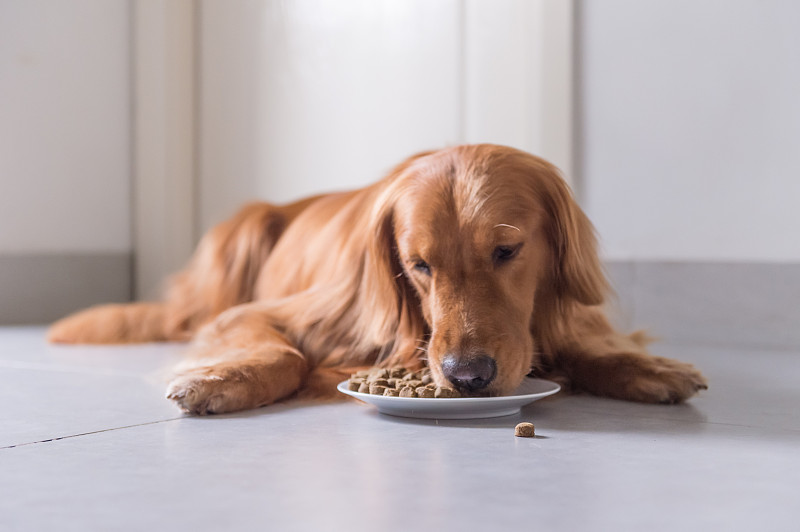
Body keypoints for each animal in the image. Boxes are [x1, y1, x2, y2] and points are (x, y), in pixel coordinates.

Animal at [48, 143, 708, 414]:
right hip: (241, 231)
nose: (467, 378)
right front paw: (222, 379)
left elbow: (592, 343)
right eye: (418, 266)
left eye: (507, 250)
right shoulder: (262, 314)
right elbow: (284, 352)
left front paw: (649, 368)